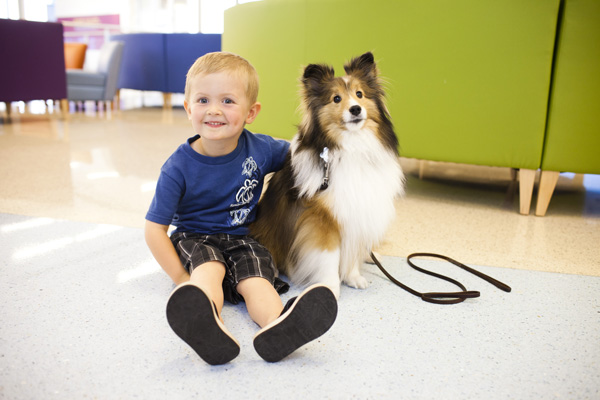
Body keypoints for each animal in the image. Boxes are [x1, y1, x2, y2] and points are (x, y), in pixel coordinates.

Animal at [248, 51, 404, 298]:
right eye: (336, 99)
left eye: (359, 94)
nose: (356, 109)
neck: (351, 147)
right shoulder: (321, 221)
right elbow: (329, 256)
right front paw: (330, 287)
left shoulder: (357, 212)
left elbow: (352, 251)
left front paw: (353, 277)